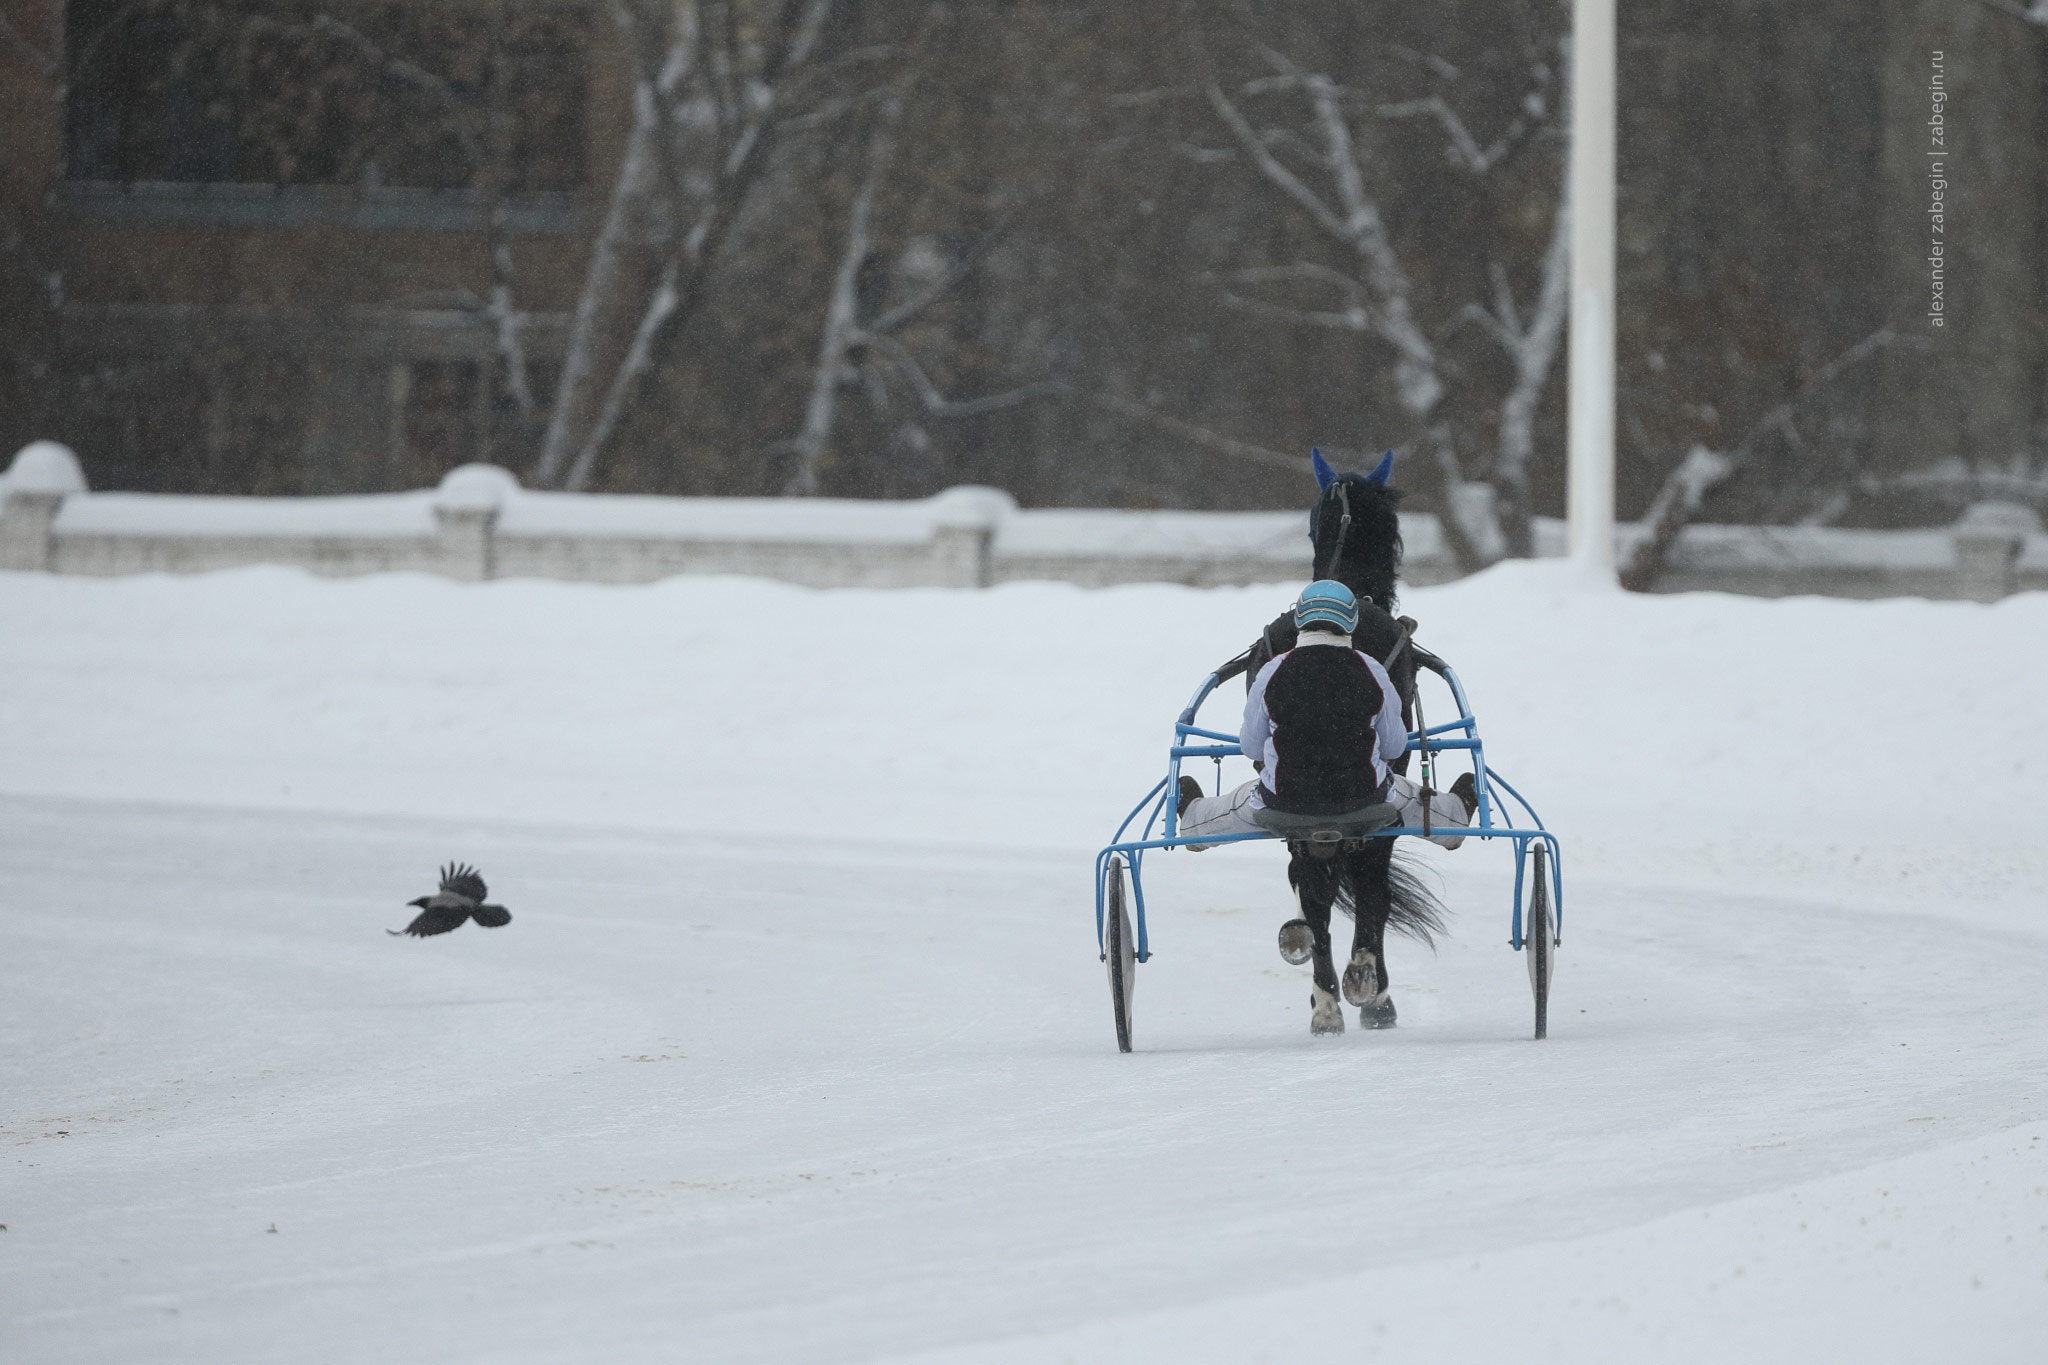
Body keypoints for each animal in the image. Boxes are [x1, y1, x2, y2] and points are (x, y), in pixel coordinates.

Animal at [1220, 450, 1449, 1035]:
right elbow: (1372, 889)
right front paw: (1372, 991)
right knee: (1365, 883)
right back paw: (1365, 987)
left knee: (1311, 886)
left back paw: (1324, 997)